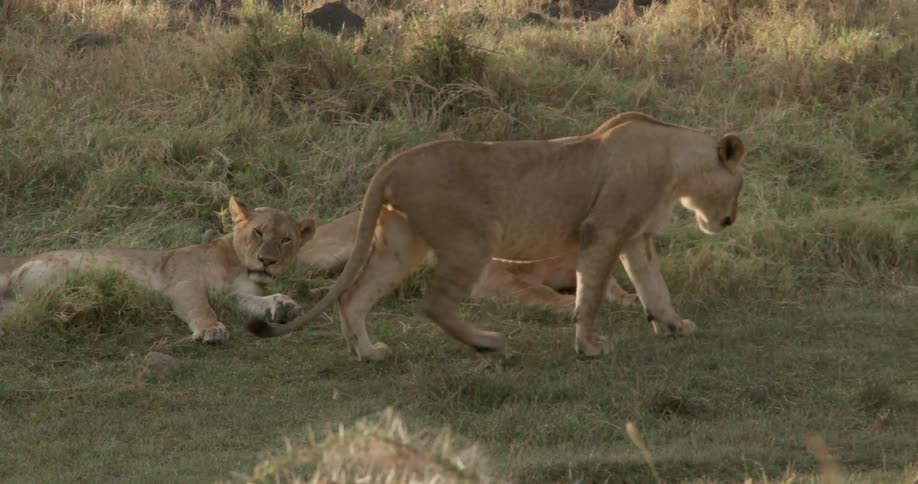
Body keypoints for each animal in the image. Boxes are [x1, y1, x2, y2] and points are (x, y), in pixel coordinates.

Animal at [0, 197, 314, 343]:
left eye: (286, 240)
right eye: (259, 233)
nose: (267, 260)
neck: (238, 266)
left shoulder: (232, 295)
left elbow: (254, 302)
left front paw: (285, 306)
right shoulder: (183, 282)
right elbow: (201, 307)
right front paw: (211, 329)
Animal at [295, 210, 638, 312]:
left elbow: (611, 286)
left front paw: (630, 299)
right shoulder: (493, 277)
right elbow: (538, 291)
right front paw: (568, 304)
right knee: (303, 275)